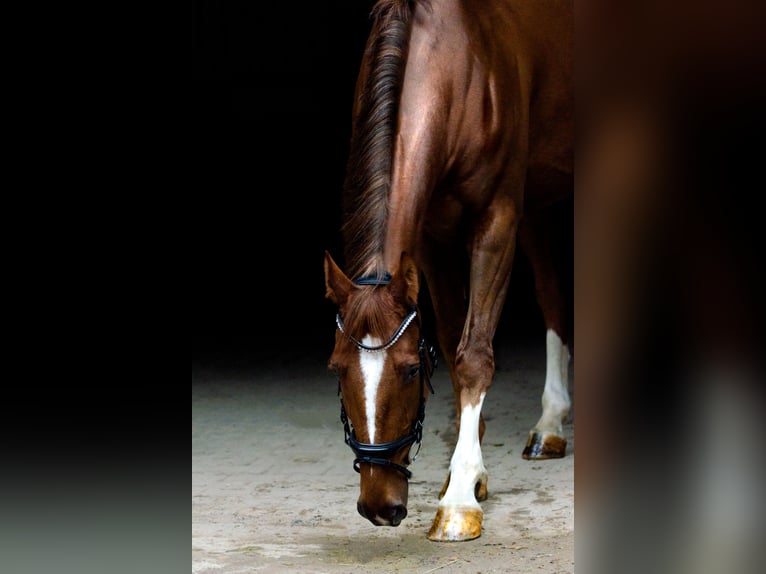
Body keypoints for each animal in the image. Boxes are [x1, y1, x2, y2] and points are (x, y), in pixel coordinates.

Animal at [324, 0, 572, 542]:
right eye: (336, 368)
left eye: (412, 370)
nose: (380, 505)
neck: (457, 67)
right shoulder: (432, 239)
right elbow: (455, 343)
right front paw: (471, 474)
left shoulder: (496, 219)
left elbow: (473, 355)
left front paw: (459, 501)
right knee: (550, 291)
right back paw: (549, 425)